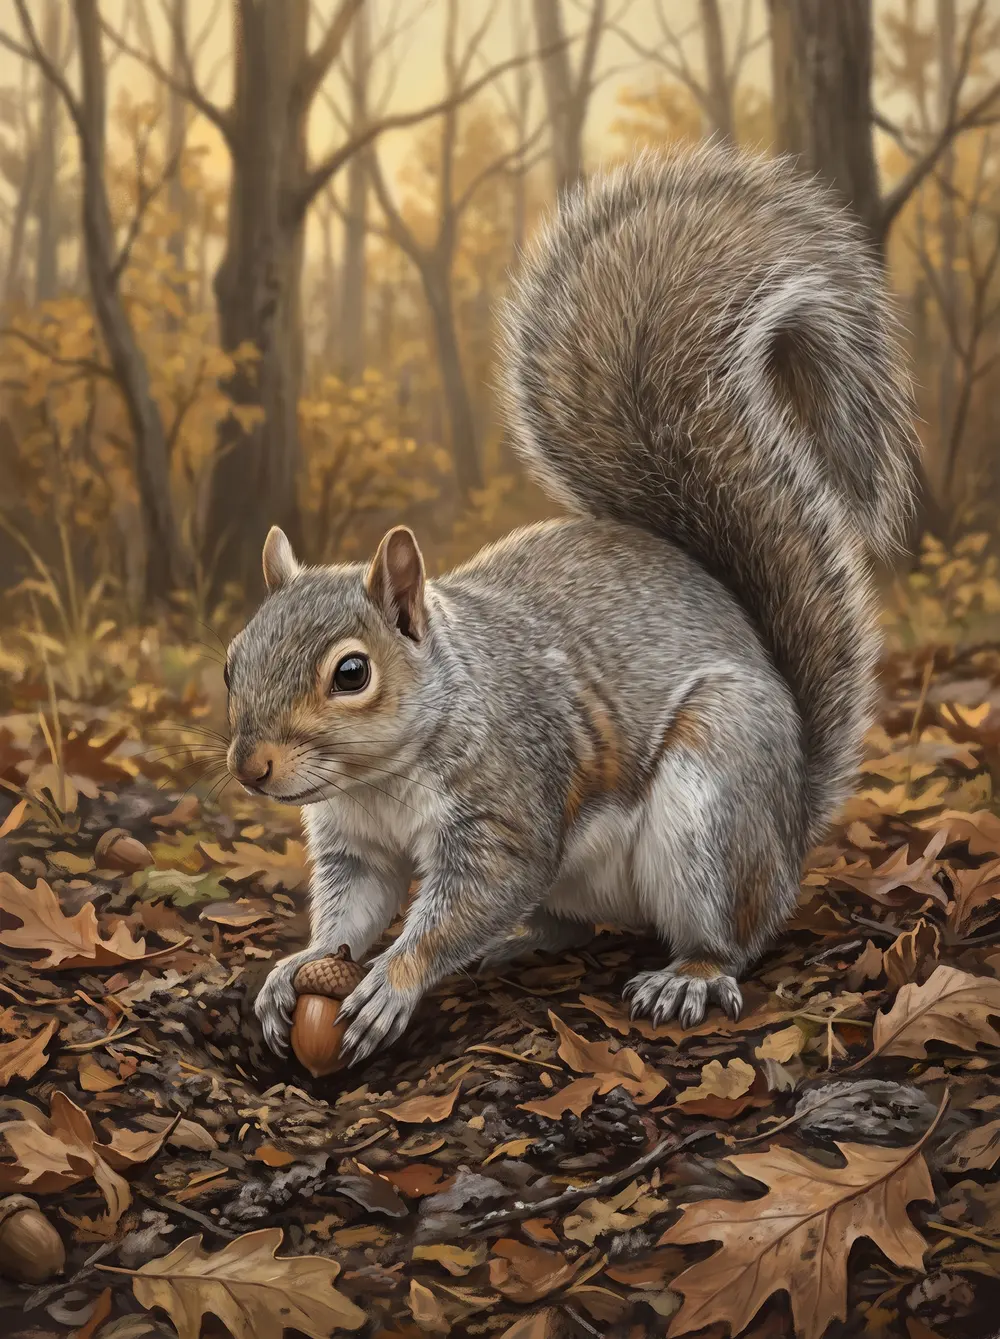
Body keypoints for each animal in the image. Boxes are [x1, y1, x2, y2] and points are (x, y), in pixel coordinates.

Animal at [226, 141, 920, 1064]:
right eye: (231, 662)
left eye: (350, 673)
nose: (251, 765)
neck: (379, 777)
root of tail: (790, 825)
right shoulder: (356, 845)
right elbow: (354, 907)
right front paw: (293, 969)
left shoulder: (509, 804)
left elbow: (474, 896)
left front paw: (393, 981)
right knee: (565, 925)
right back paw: (520, 944)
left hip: (714, 798)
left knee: (730, 933)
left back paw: (688, 974)